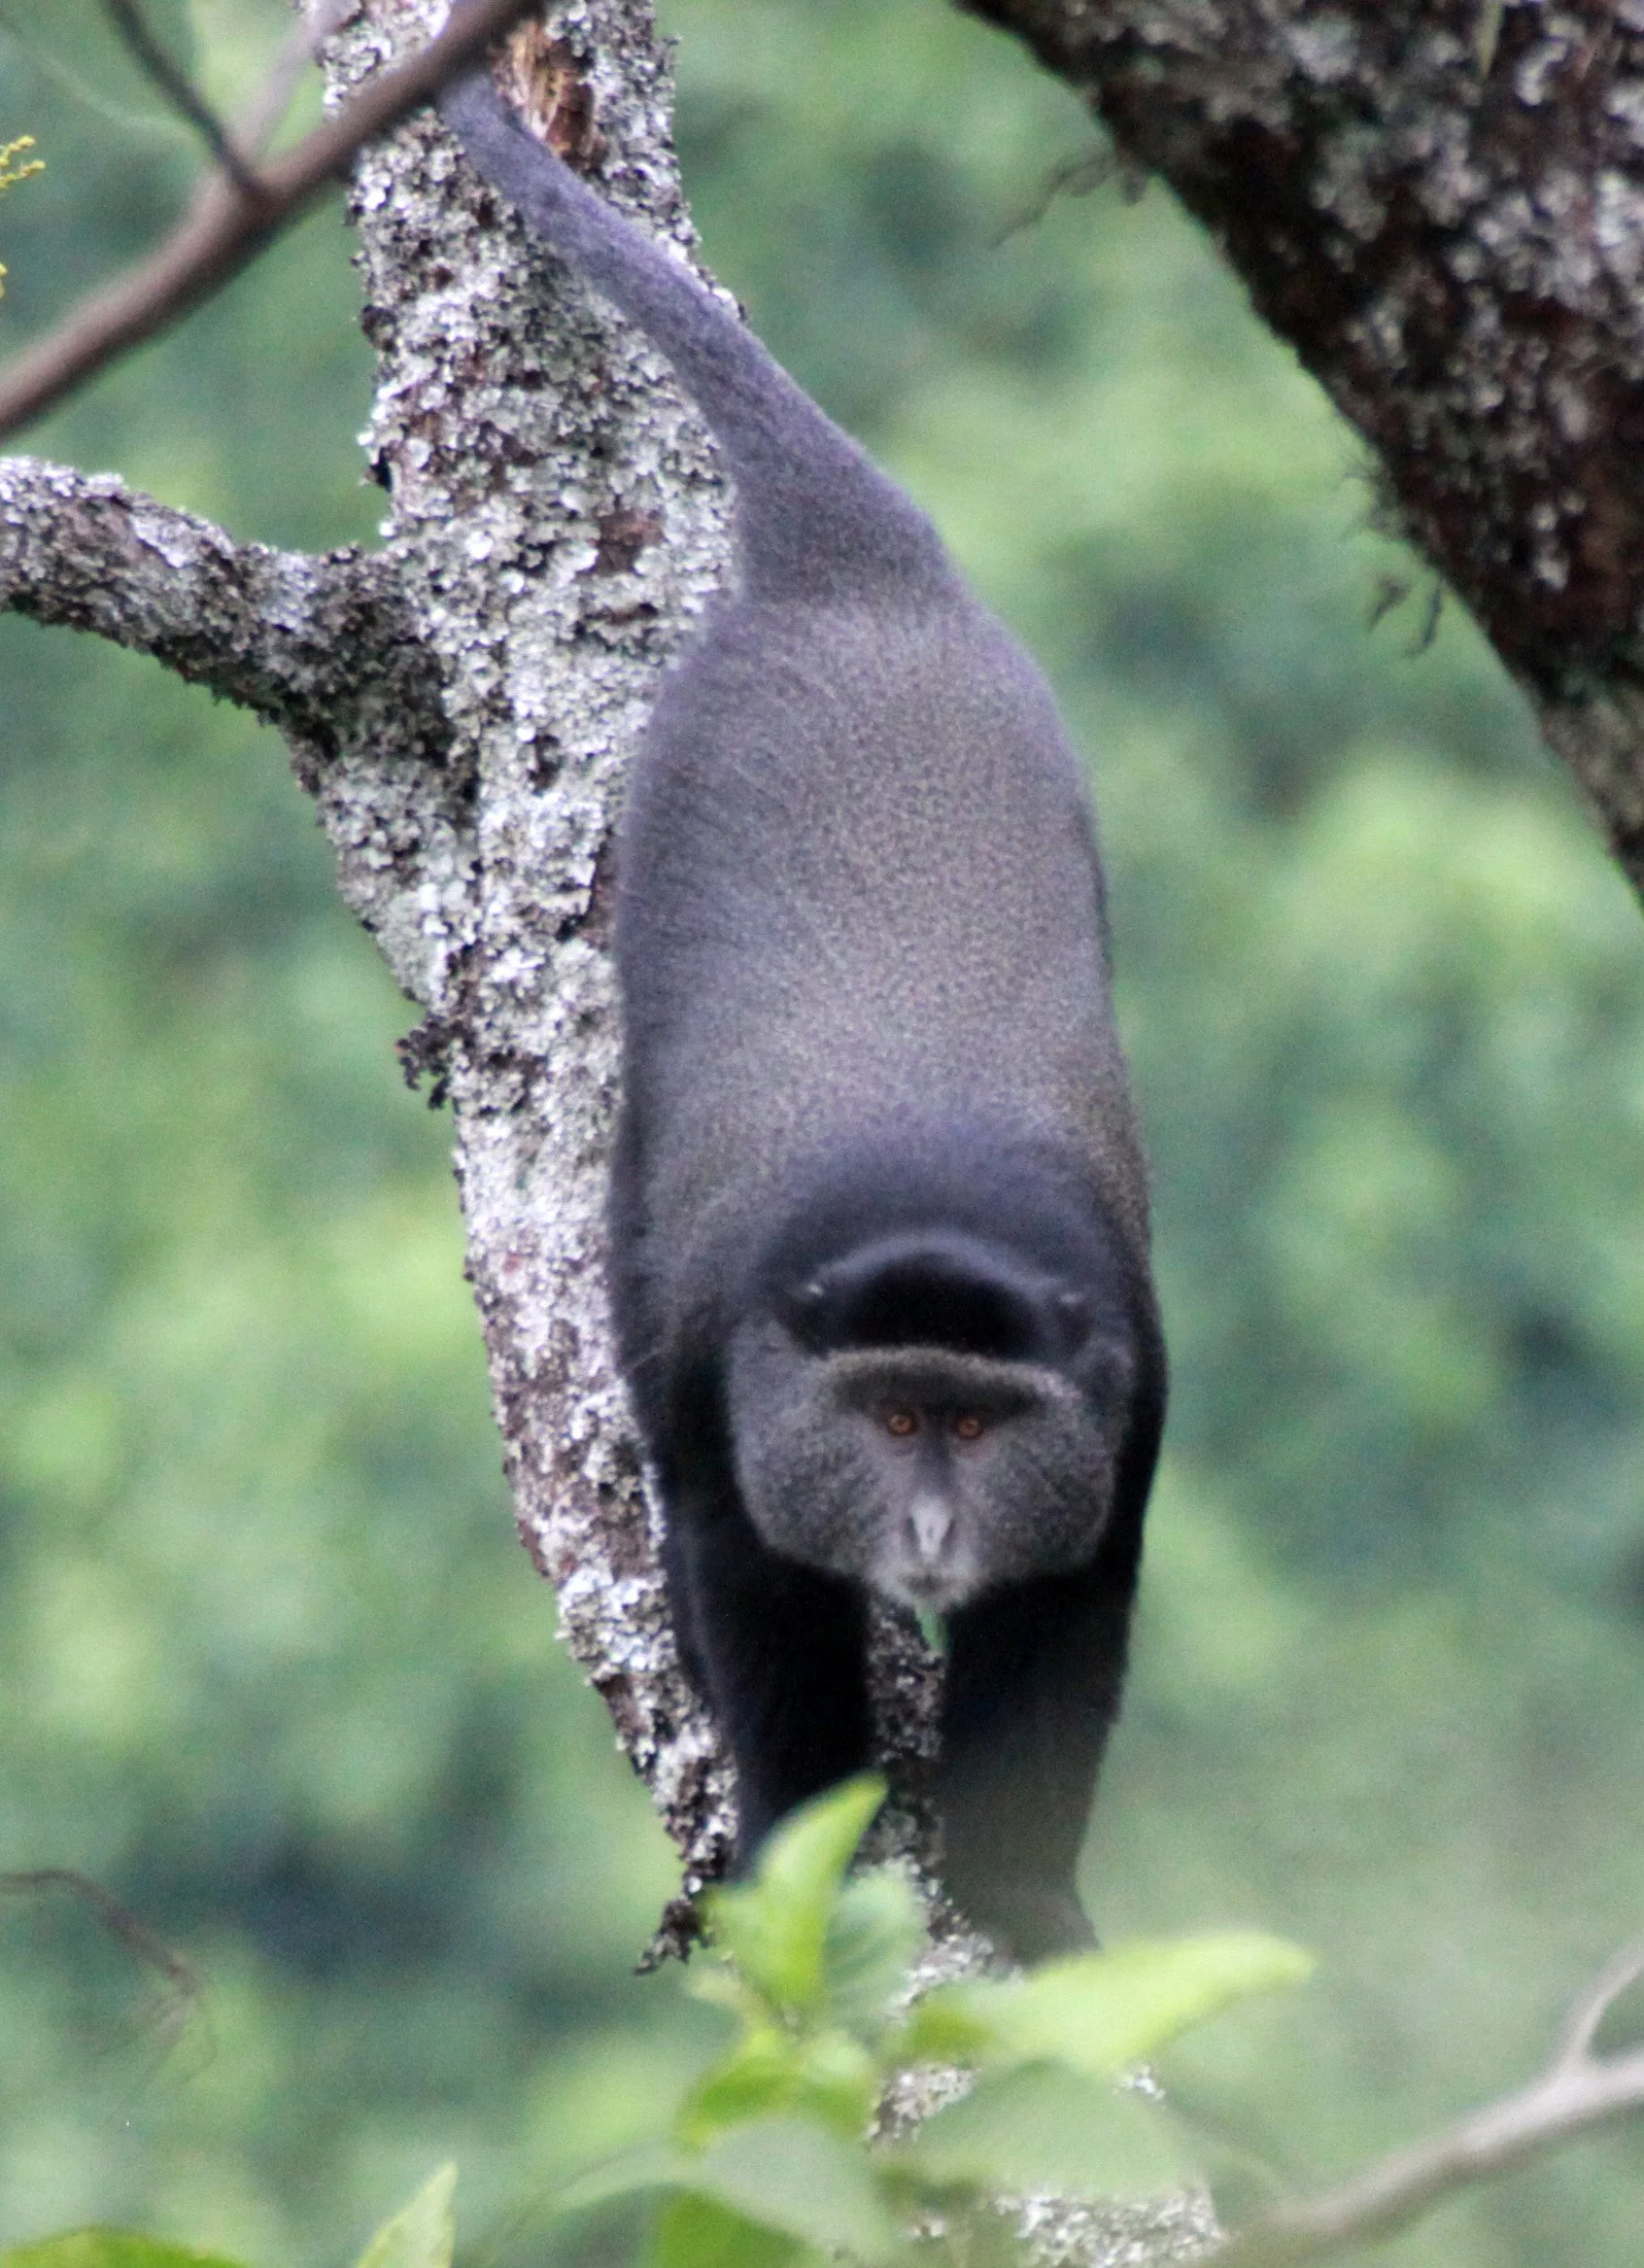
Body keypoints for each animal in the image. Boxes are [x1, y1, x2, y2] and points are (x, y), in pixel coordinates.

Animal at [439, 62, 1166, 1964]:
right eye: (894, 1416)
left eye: (971, 1421)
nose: (923, 1517)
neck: (926, 1192)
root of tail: (859, 580)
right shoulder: (727, 1378)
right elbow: (747, 1585)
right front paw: (804, 1867)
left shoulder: (1121, 1402)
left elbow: (1067, 1618)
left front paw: (1024, 1897)